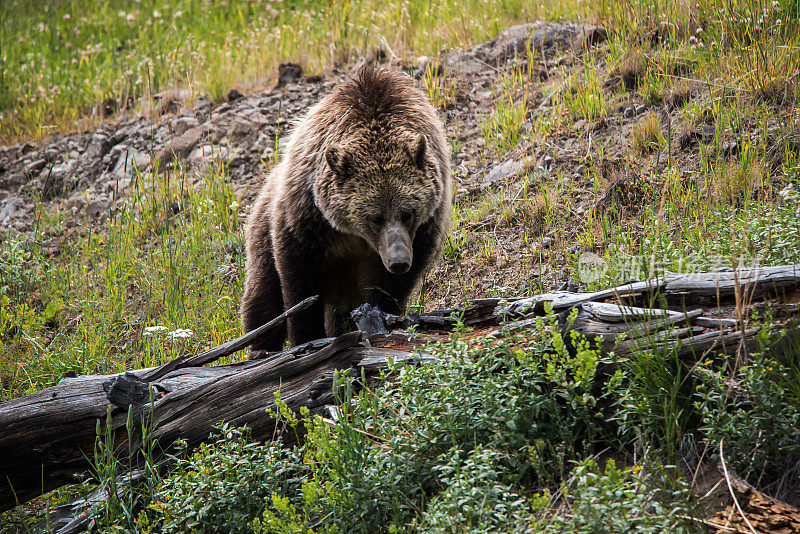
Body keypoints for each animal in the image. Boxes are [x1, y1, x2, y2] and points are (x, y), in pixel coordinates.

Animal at [241, 67, 450, 352]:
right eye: (375, 217)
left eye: (408, 213)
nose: (398, 261)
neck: (356, 236)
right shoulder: (308, 216)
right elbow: (300, 283)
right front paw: (307, 336)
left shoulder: (425, 224)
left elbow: (388, 287)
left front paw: (381, 318)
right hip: (263, 230)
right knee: (263, 295)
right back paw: (261, 347)